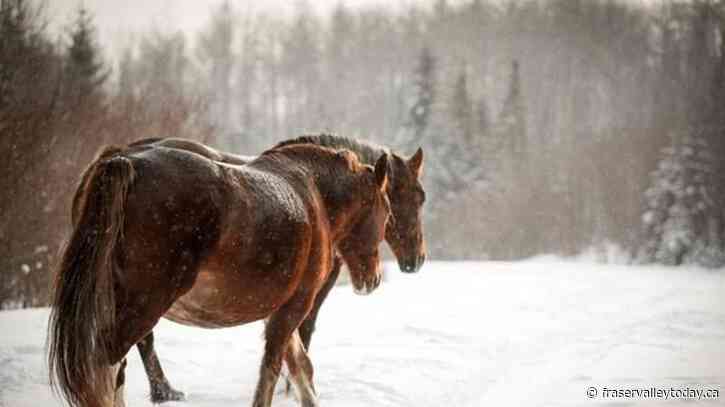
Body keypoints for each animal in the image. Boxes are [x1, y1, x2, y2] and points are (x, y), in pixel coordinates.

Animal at [48, 142, 393, 407]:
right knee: (108, 368)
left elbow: (300, 367)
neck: (314, 195)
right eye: (387, 211)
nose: (373, 279)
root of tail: (123, 161)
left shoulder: (278, 311)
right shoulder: (294, 307)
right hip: (142, 306)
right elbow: (271, 371)